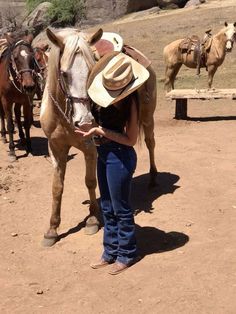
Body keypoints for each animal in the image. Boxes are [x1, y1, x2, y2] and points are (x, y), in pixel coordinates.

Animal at [40, 27, 159, 247]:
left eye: (91, 71)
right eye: (64, 74)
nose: (85, 121)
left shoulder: (89, 147)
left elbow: (89, 181)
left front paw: (93, 219)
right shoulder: (56, 148)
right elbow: (57, 187)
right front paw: (52, 229)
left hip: (148, 118)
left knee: (150, 143)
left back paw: (153, 178)